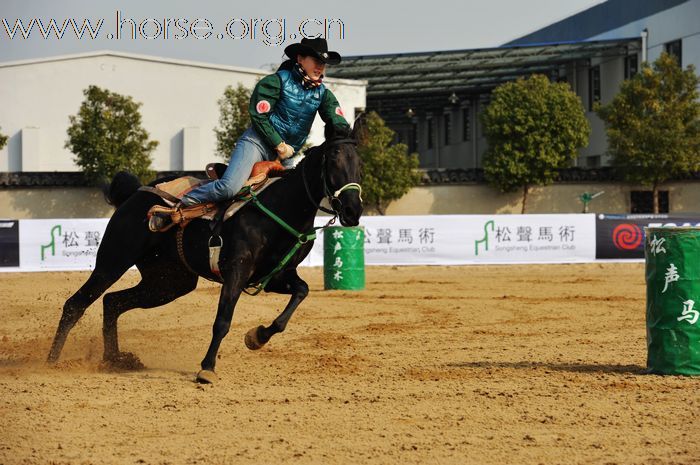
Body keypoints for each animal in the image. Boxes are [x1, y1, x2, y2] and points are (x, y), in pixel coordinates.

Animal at [46, 121, 364, 382]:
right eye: (333, 159)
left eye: (359, 163)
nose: (353, 210)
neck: (280, 206)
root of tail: (136, 192)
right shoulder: (236, 271)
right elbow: (222, 320)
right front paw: (207, 368)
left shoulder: (275, 276)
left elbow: (301, 292)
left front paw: (257, 337)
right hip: (114, 260)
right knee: (76, 304)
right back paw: (51, 362)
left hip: (169, 282)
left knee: (113, 302)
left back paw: (114, 360)